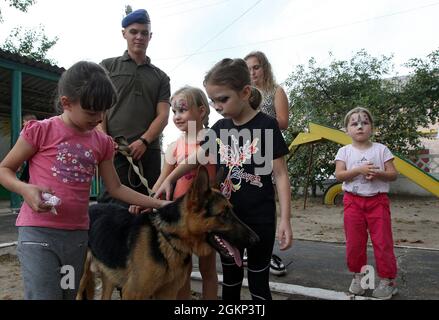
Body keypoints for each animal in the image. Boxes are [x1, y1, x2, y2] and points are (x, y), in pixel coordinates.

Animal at [77, 166, 260, 298]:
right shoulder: (133, 293)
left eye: (232, 211)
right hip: (80, 280)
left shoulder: (167, 293)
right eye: (223, 214)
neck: (168, 239)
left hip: (109, 279)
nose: (256, 240)